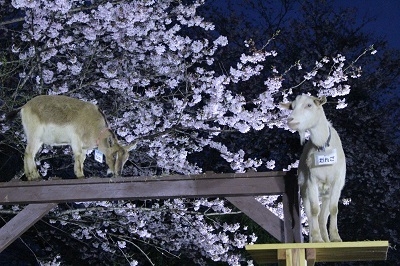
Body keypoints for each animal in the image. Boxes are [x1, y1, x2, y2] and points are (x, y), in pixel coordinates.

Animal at [6, 94, 136, 180]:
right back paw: (36, 176)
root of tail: (24, 107)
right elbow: (78, 155)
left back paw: (30, 177)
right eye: (114, 155)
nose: (118, 173)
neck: (94, 125)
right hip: (35, 135)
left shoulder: (84, 147)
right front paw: (81, 175)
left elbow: (82, 158)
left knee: (27, 153)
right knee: (29, 153)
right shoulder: (76, 140)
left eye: (126, 158)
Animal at [282, 94, 344, 242]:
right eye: (292, 107)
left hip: (326, 193)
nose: (290, 120)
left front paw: (335, 238)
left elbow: (334, 209)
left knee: (323, 217)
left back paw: (326, 239)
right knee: (311, 215)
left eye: (309, 105)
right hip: (304, 190)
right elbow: (314, 210)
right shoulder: (311, 182)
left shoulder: (337, 182)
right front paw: (316, 239)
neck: (323, 147)